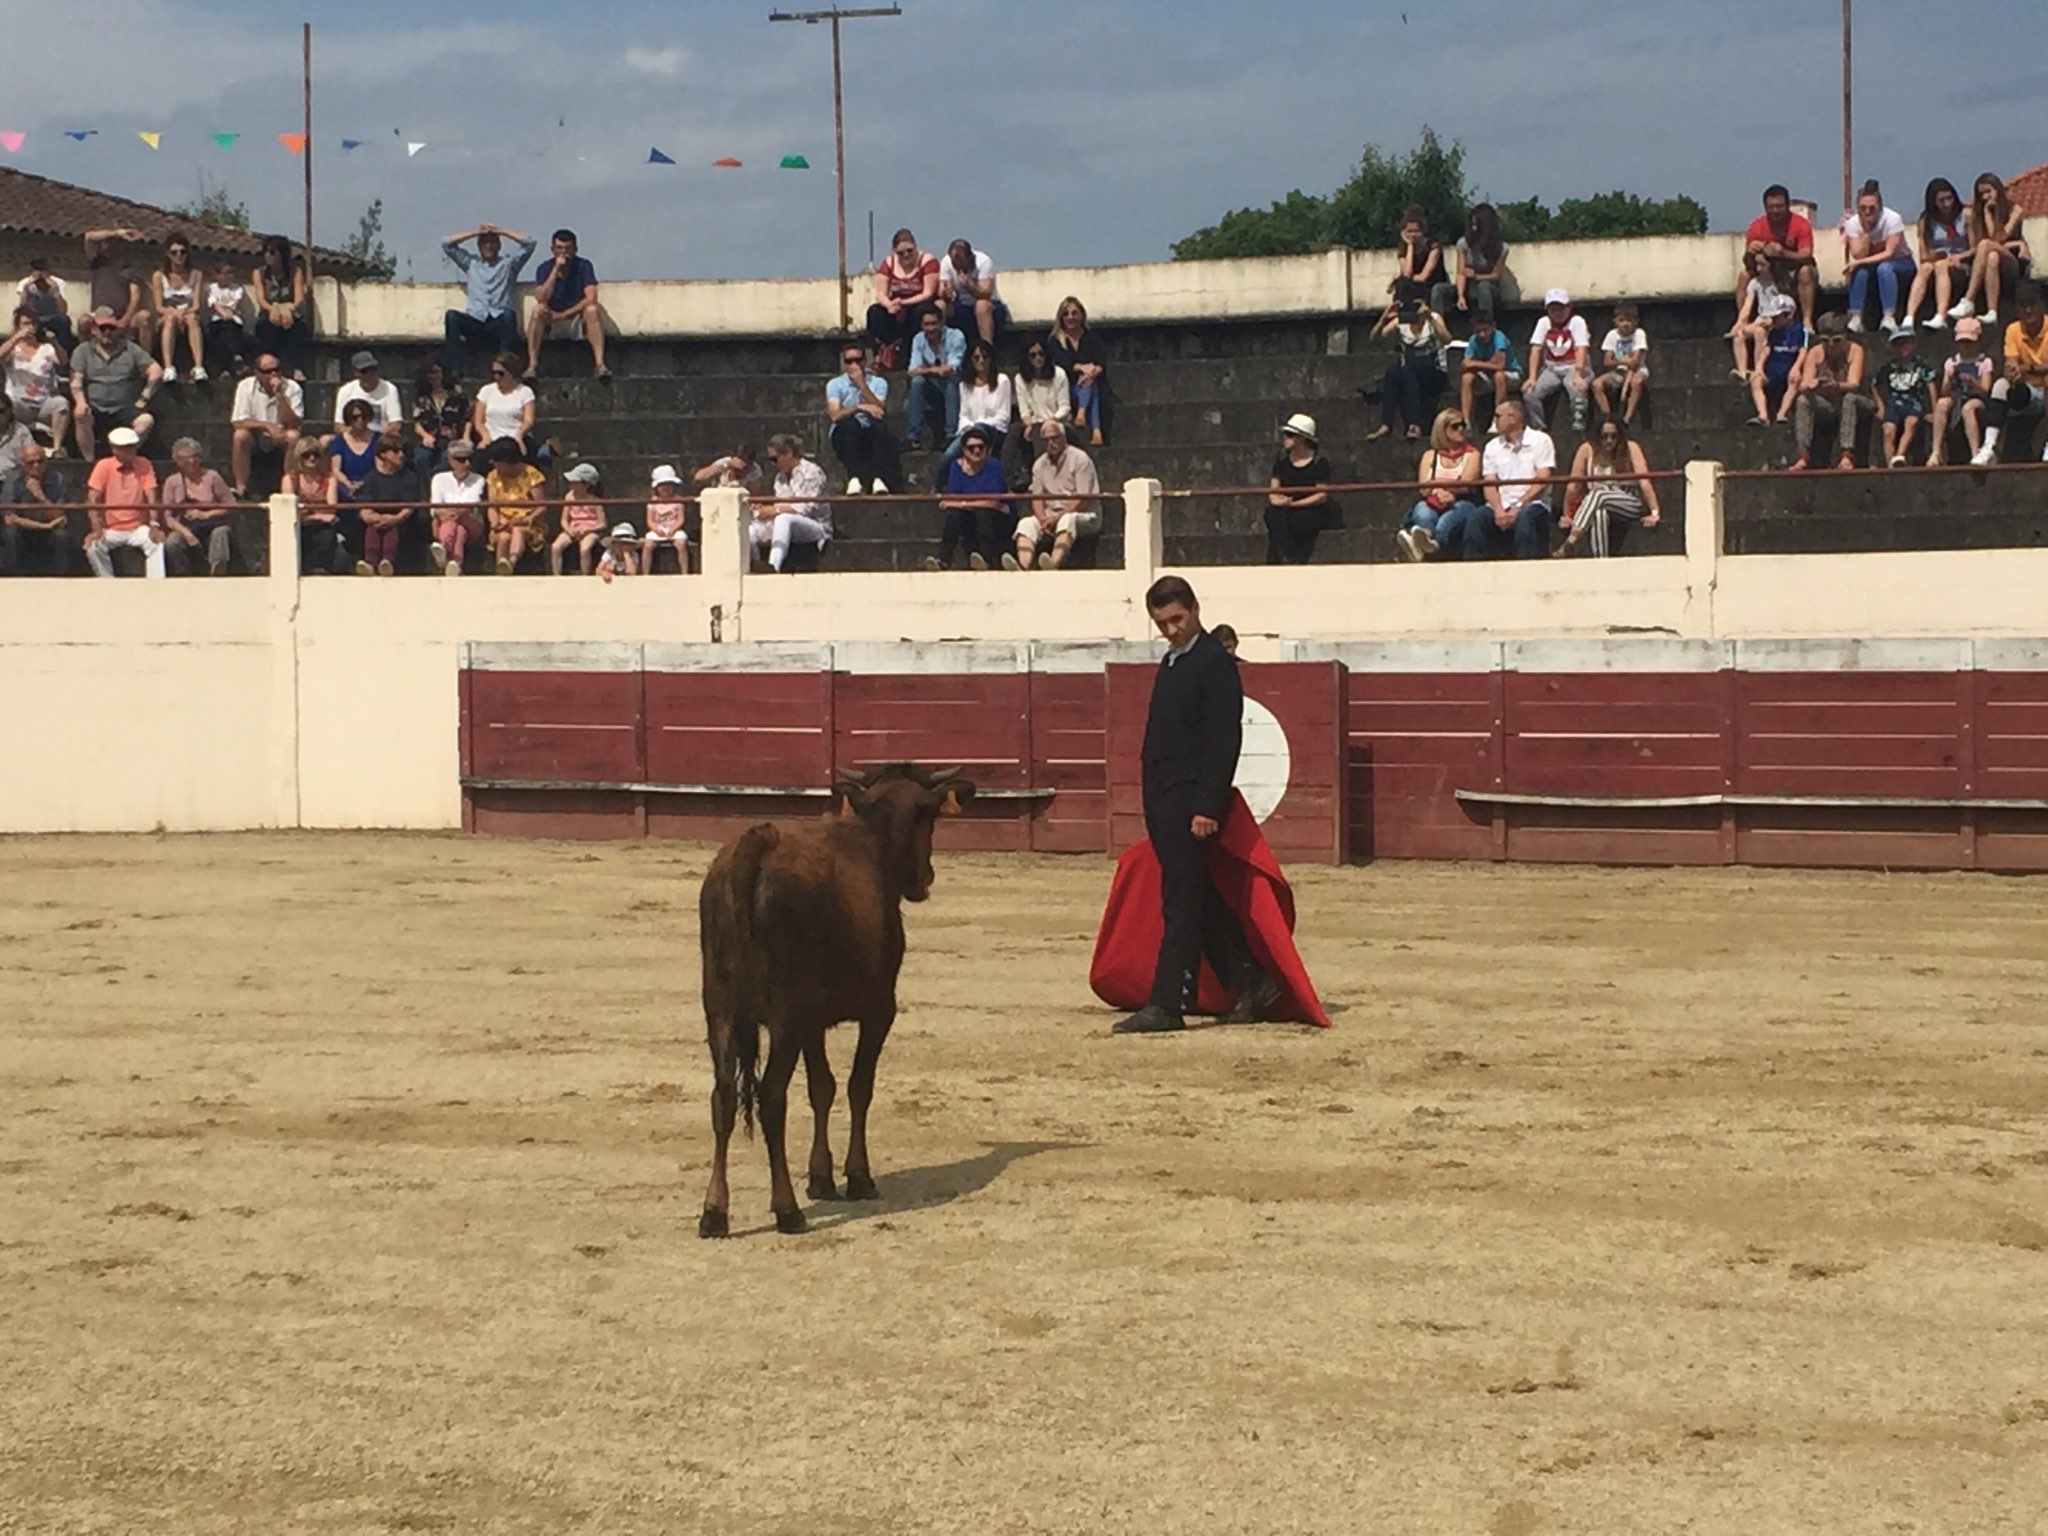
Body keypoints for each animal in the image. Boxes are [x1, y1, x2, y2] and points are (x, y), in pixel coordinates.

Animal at [696, 765, 974, 1245]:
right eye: (931, 815)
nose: (924, 879)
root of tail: (756, 845)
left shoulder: (811, 1023)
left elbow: (821, 1087)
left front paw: (821, 1178)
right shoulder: (878, 1011)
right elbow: (859, 1087)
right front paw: (858, 1178)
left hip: (720, 1011)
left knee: (724, 1096)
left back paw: (714, 1213)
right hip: (783, 1018)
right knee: (771, 1097)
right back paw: (787, 1211)